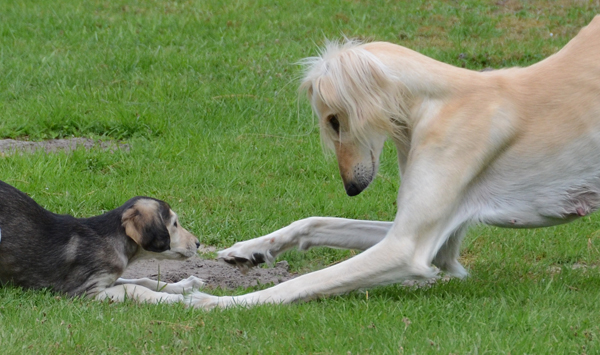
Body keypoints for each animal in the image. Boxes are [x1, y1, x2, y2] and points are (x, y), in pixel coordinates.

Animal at [0, 182, 204, 304]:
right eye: (175, 224)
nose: (198, 243)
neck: (113, 240)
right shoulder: (85, 291)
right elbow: (133, 287)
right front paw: (172, 298)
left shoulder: (107, 279)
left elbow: (143, 280)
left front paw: (185, 285)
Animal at [186, 16, 600, 308]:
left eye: (334, 120)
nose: (351, 188)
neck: (436, 101)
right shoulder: (441, 242)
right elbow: (315, 221)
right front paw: (251, 248)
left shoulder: (406, 247)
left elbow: (299, 283)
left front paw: (216, 302)